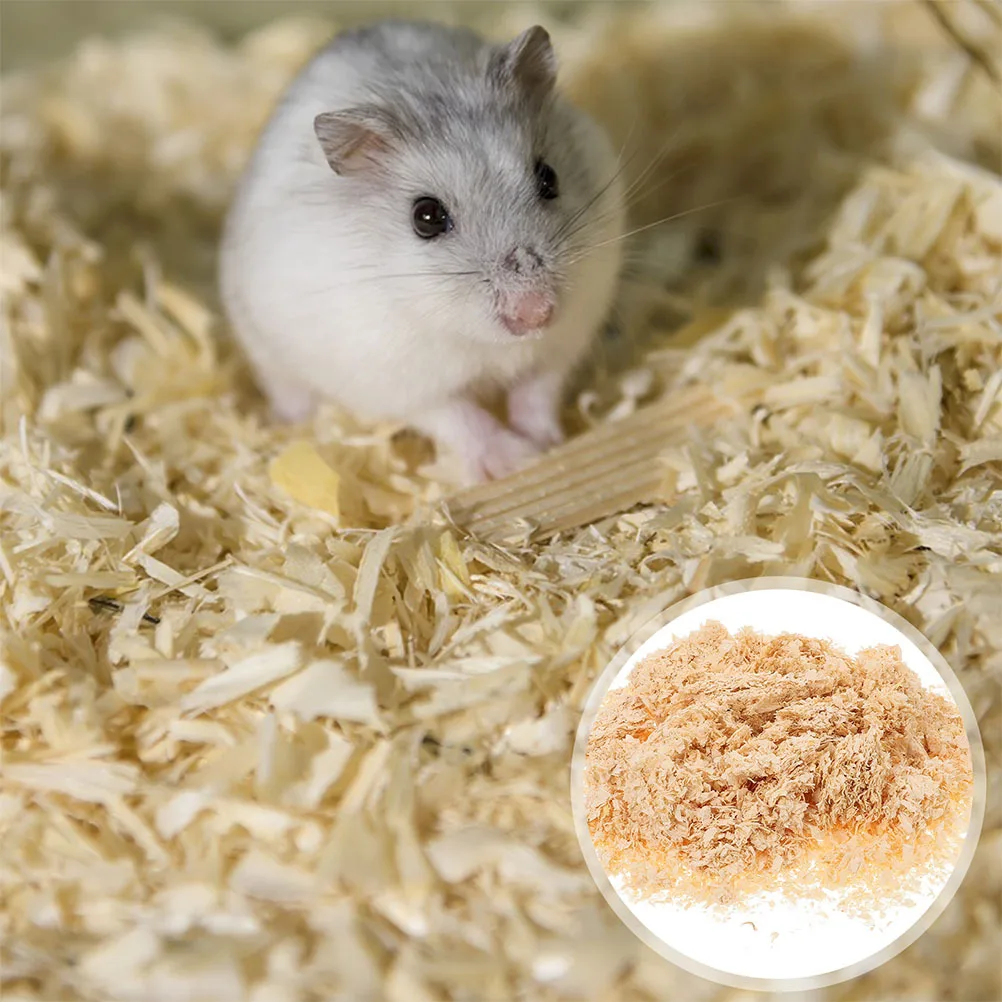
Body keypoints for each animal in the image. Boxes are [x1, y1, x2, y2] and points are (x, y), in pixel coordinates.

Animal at [219, 20, 626, 482]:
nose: (535, 314)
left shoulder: (566, 337)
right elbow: (458, 417)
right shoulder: (399, 381)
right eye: (426, 217)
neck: (481, 341)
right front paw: (515, 458)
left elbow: (538, 387)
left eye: (549, 177)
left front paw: (544, 441)